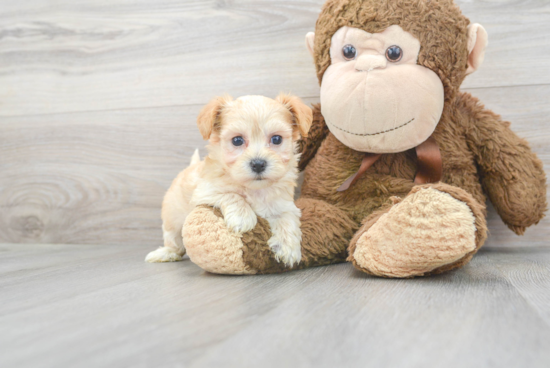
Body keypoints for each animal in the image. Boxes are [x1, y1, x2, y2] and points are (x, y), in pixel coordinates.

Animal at [144, 94, 312, 268]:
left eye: (277, 139)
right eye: (237, 140)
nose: (258, 164)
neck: (254, 189)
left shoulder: (283, 204)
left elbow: (287, 219)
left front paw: (288, 248)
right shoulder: (204, 191)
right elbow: (231, 194)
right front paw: (242, 217)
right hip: (172, 217)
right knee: (174, 240)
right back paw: (166, 253)